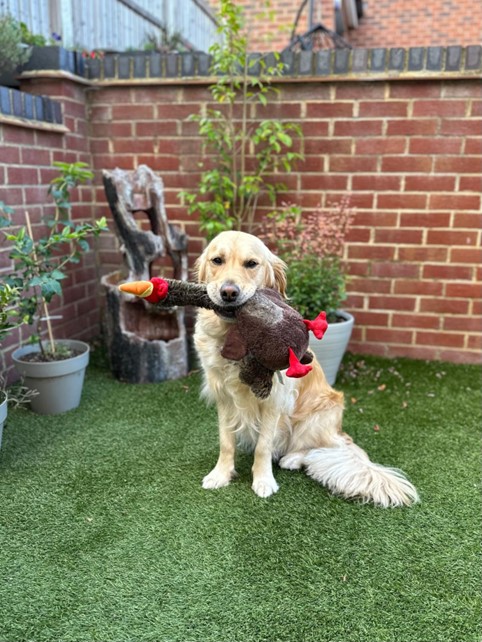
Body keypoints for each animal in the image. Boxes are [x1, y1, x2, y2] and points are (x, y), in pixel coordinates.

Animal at [194, 230, 420, 504]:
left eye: (251, 264)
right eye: (217, 260)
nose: (229, 292)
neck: (232, 334)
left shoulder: (274, 400)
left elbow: (263, 446)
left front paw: (263, 481)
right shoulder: (224, 396)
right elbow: (226, 441)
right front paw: (221, 474)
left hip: (316, 416)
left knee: (316, 448)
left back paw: (292, 459)